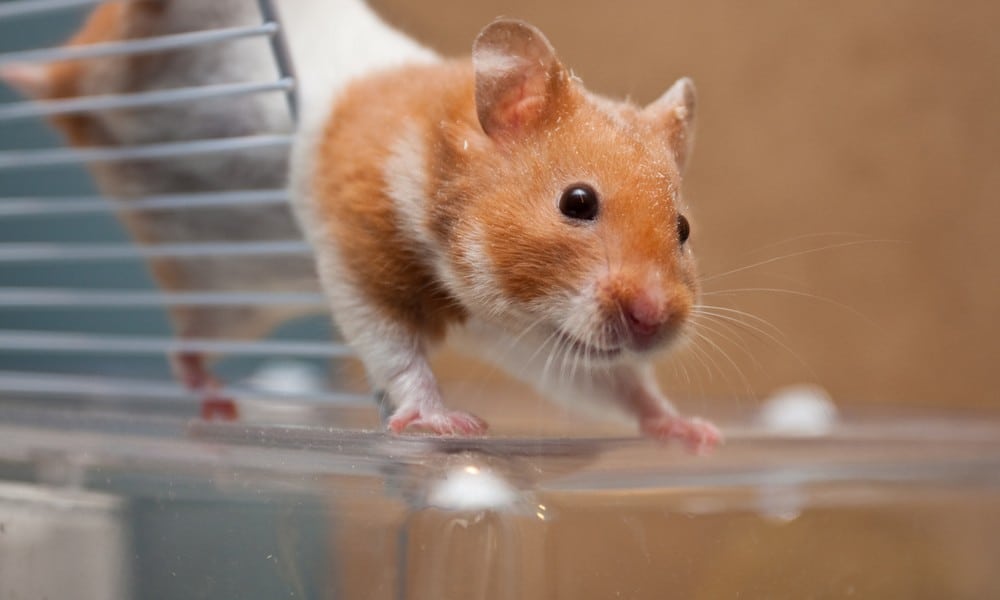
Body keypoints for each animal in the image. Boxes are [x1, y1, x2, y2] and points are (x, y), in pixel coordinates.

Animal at [292, 19, 721, 451]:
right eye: (577, 202)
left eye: (683, 228)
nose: (652, 318)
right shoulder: (358, 261)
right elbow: (398, 355)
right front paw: (453, 424)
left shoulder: (531, 338)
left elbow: (619, 383)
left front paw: (699, 432)